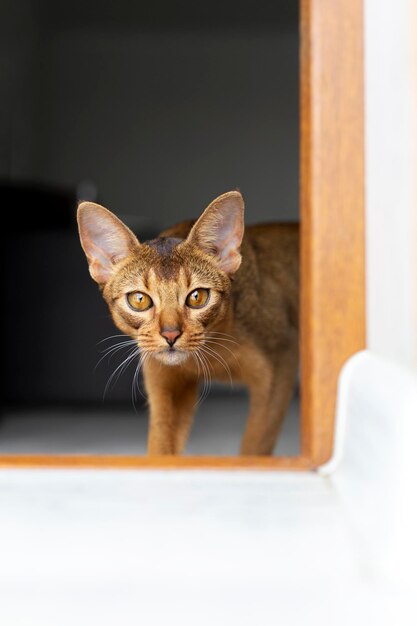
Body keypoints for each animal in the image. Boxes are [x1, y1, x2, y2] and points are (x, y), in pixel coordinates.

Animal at [77, 190, 300, 454]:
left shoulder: (280, 368)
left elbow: (254, 447)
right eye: (139, 300)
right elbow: (161, 449)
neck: (211, 353)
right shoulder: (165, 383)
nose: (170, 335)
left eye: (197, 297)